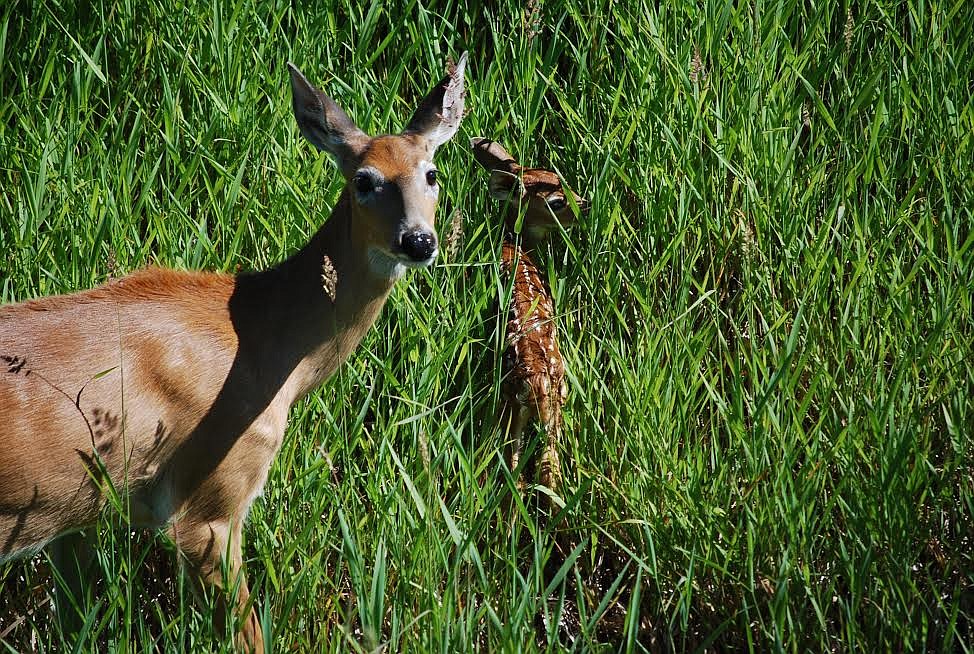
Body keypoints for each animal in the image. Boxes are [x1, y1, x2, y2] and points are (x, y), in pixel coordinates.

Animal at [0, 52, 468, 654]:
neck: (267, 346)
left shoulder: (75, 515)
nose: (419, 240)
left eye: (430, 173)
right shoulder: (211, 501)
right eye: (364, 180)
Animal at [470, 138, 588, 508]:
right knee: (543, 465)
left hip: (520, 407)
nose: (585, 204)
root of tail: (539, 381)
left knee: (523, 469)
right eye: (557, 201)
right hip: (549, 404)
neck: (515, 244)